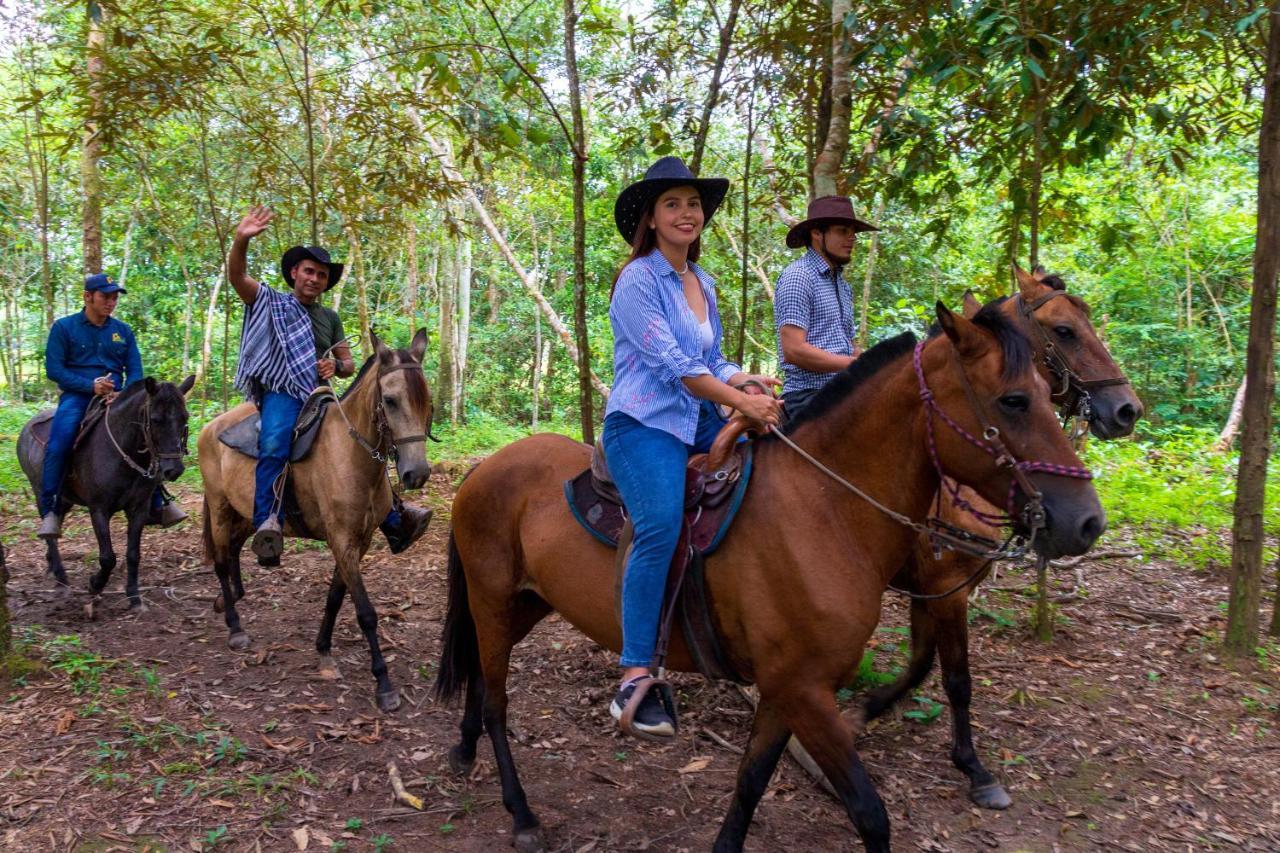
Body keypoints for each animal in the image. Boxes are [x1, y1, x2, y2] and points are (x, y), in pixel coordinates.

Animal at [16, 376, 194, 614]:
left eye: (185, 417)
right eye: (156, 420)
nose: (173, 469)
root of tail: (27, 428)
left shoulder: (138, 509)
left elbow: (133, 555)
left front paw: (134, 598)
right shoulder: (99, 509)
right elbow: (108, 557)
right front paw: (95, 584)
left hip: (65, 500)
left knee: (54, 525)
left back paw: (52, 567)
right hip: (39, 491)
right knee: (50, 530)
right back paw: (61, 581)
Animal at [195, 327, 435, 706]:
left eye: (427, 399)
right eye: (391, 400)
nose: (417, 473)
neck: (351, 454)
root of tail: (209, 428)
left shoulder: (359, 541)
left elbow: (335, 598)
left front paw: (323, 649)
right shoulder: (341, 539)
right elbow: (365, 613)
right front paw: (383, 684)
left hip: (245, 512)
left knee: (232, 551)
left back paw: (229, 598)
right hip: (219, 506)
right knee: (220, 560)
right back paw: (234, 626)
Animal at [435, 303, 1105, 850]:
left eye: (1044, 388)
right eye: (1013, 399)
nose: (1086, 522)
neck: (823, 510)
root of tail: (482, 470)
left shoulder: (789, 688)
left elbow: (752, 780)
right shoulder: (807, 691)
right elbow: (870, 812)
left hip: (525, 604)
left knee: (479, 680)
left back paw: (463, 750)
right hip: (493, 602)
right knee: (495, 701)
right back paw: (521, 814)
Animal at [865, 268, 1146, 809]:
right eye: (1064, 330)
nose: (1127, 410)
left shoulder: (937, 591)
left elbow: (921, 660)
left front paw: (872, 703)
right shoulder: (945, 589)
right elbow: (956, 678)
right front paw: (973, 767)